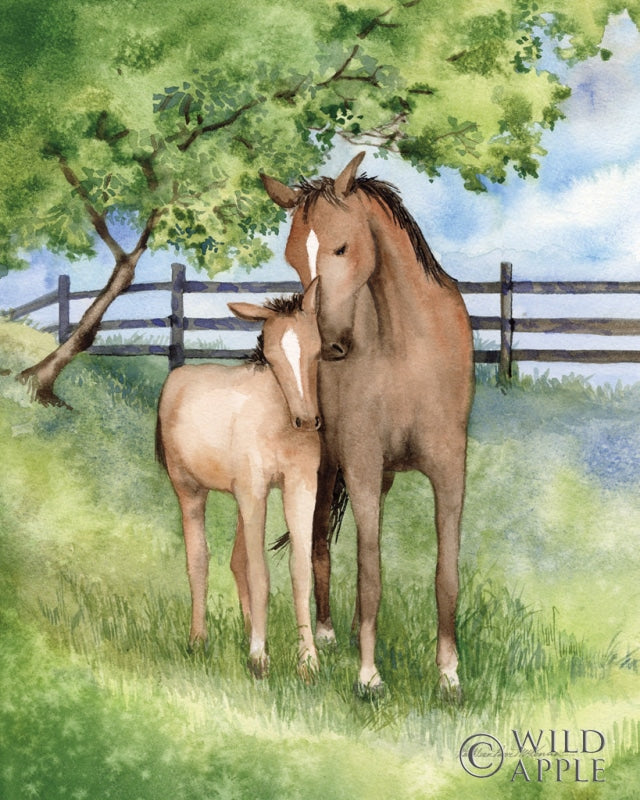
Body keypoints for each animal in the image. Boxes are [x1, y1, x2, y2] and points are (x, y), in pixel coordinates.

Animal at [156, 280, 322, 679]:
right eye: (272, 356)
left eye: (317, 349)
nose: (307, 421)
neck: (279, 420)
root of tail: (177, 378)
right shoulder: (255, 491)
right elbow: (260, 574)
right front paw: (259, 658)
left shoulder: (300, 487)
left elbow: (299, 571)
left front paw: (308, 662)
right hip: (191, 490)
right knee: (199, 559)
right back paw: (198, 641)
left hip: (239, 495)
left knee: (235, 561)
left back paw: (248, 634)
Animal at [260, 153, 475, 696]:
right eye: (294, 259)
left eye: (342, 247)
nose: (329, 345)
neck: (409, 345)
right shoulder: (359, 462)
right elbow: (369, 570)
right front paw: (368, 675)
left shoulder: (449, 468)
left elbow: (446, 574)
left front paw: (448, 674)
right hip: (327, 467)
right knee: (319, 544)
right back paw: (328, 635)